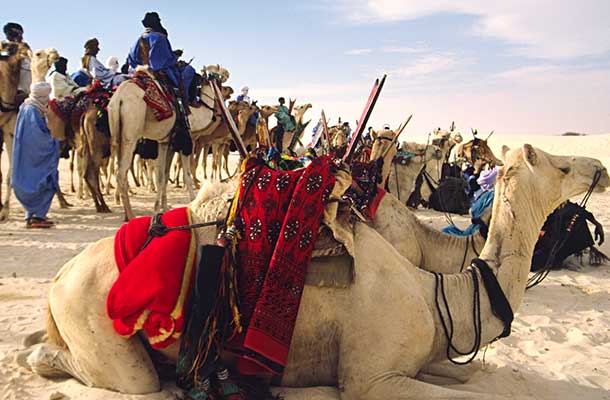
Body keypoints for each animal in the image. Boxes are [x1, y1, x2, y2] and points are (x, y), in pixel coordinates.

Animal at [107, 67, 226, 220]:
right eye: (219, 75)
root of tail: (119, 99)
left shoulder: (165, 142)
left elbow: (162, 175)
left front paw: (161, 208)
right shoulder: (185, 142)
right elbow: (187, 174)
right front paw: (192, 203)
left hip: (117, 135)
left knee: (119, 167)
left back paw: (125, 212)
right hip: (131, 133)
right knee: (121, 172)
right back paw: (131, 215)